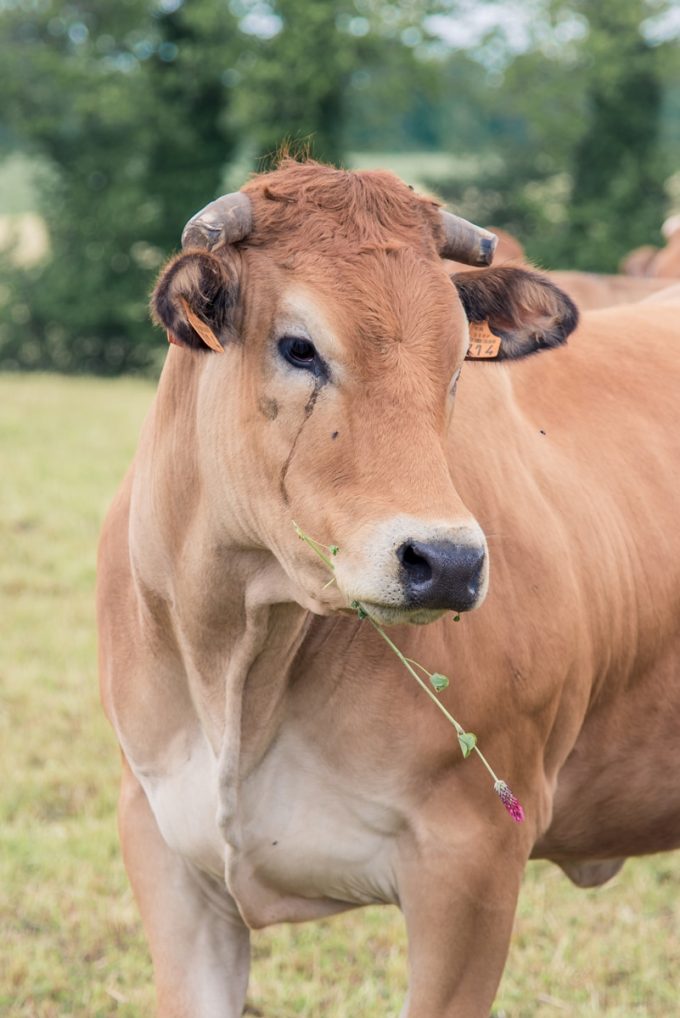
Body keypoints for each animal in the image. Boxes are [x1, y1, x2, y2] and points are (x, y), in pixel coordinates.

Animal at [97, 159, 680, 1018]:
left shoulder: (474, 858)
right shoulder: (163, 849)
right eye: (299, 346)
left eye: (457, 364)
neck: (240, 665)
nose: (449, 561)